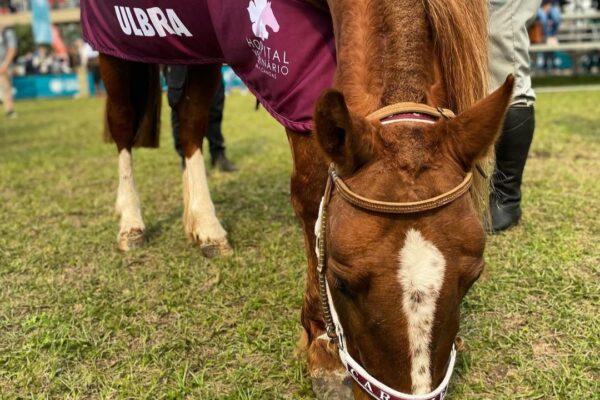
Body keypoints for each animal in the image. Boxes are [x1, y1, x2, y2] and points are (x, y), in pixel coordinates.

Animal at [94, 0, 510, 398]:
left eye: (473, 275)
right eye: (340, 282)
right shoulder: (289, 72)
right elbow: (311, 192)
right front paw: (322, 344)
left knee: (191, 122)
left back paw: (205, 224)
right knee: (123, 122)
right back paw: (131, 222)